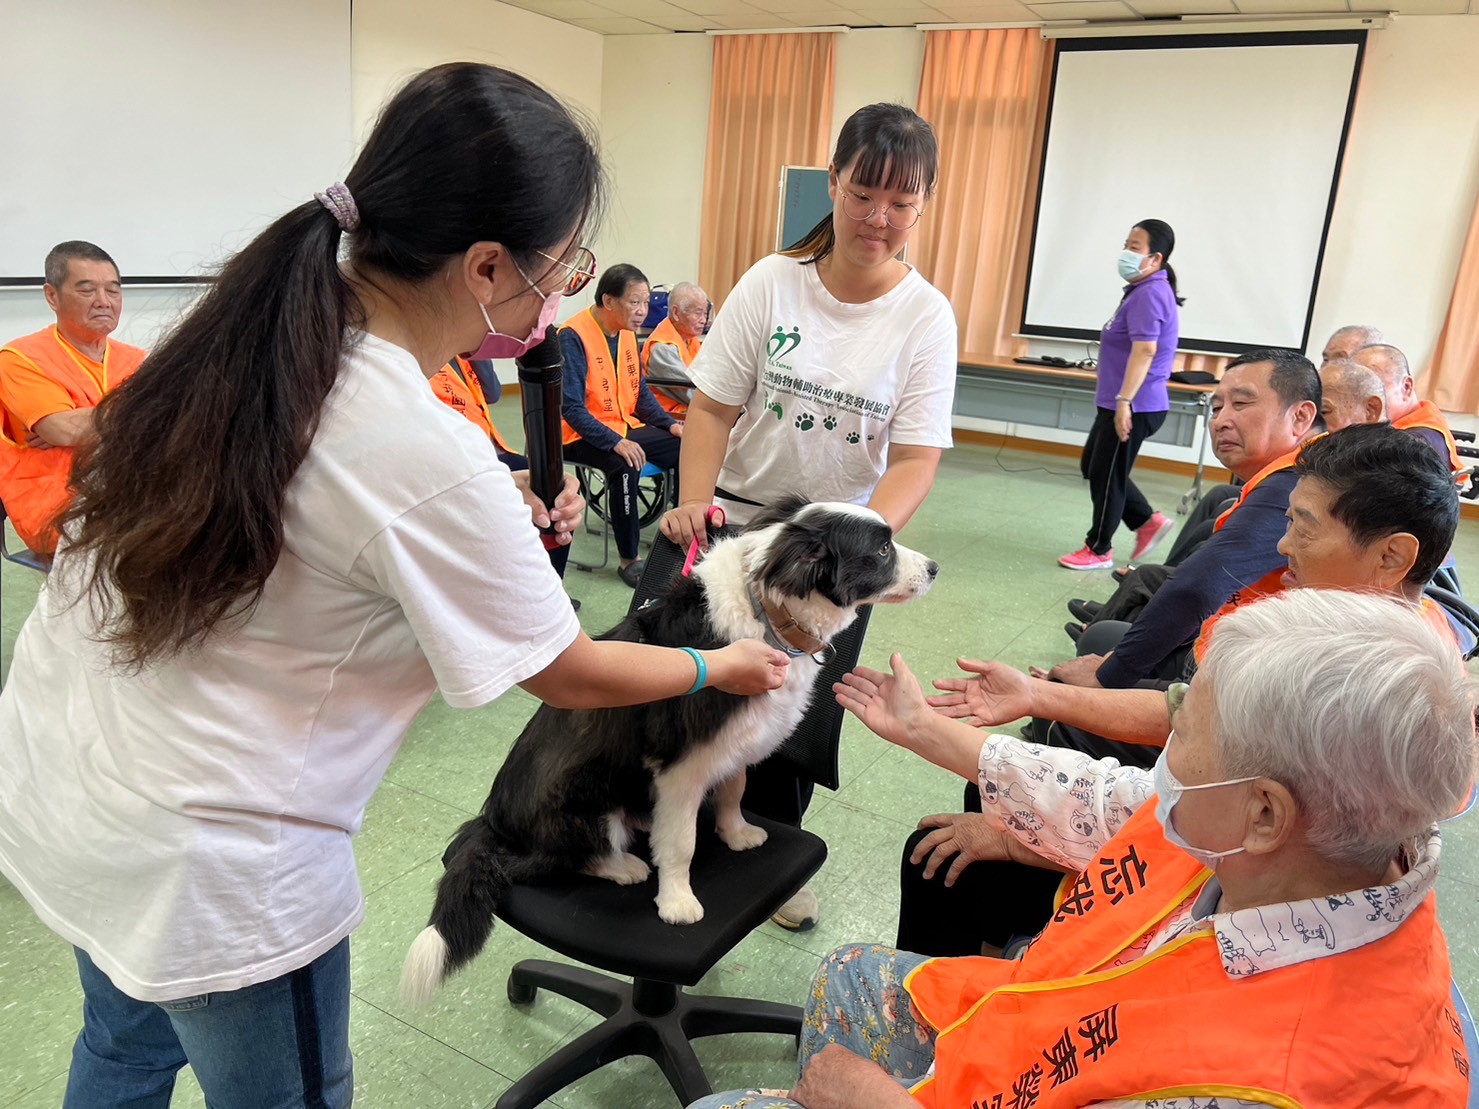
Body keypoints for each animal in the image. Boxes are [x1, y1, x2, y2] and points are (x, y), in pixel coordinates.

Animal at [402, 496, 934, 1005]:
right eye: (881, 549)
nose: (934, 568)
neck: (766, 611)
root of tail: (491, 824)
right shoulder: (679, 767)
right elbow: (680, 843)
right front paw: (677, 902)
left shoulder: (733, 741)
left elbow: (733, 789)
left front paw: (737, 834)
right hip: (581, 804)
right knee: (549, 862)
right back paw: (625, 865)